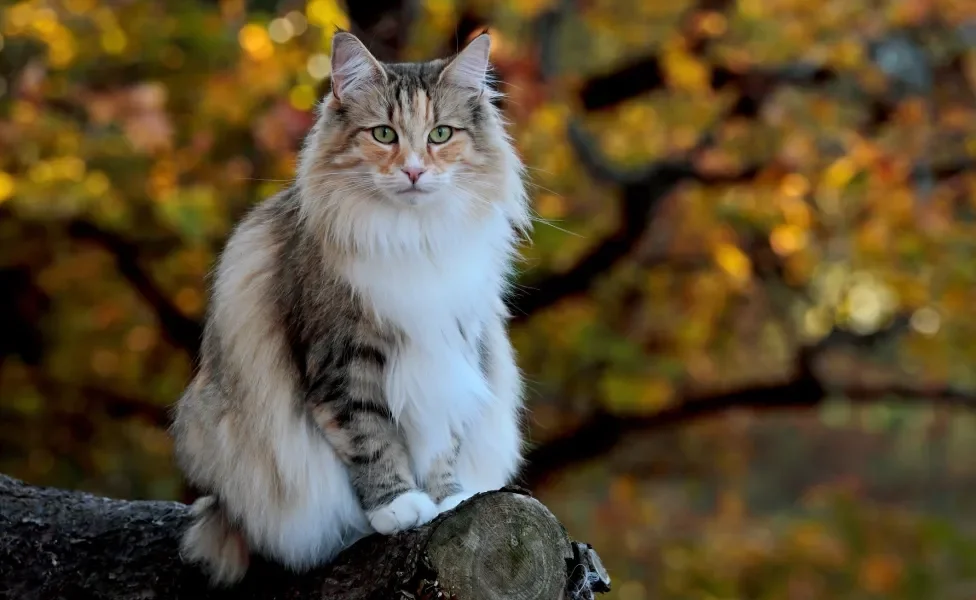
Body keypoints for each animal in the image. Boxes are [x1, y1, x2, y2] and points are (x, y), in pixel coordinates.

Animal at [172, 29, 528, 584]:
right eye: (383, 134)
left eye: (441, 134)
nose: (414, 170)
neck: (414, 237)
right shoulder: (343, 356)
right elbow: (370, 436)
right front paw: (399, 506)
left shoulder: (454, 347)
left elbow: (443, 439)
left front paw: (447, 500)